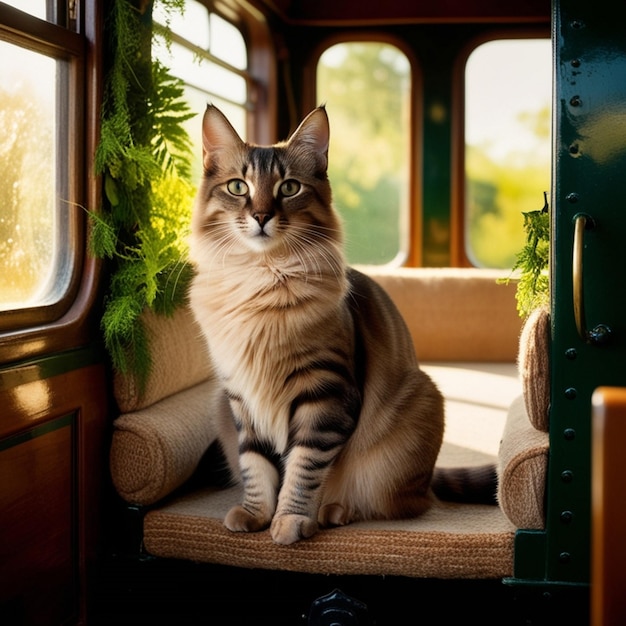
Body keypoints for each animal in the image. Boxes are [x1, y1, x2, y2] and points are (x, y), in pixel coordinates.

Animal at [188, 102, 490, 540]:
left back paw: (335, 511)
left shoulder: (324, 393)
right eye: (238, 188)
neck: (260, 279)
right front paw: (257, 514)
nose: (261, 216)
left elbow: (303, 468)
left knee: (397, 504)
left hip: (411, 420)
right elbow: (256, 465)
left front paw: (291, 521)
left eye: (289, 188)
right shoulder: (243, 399)